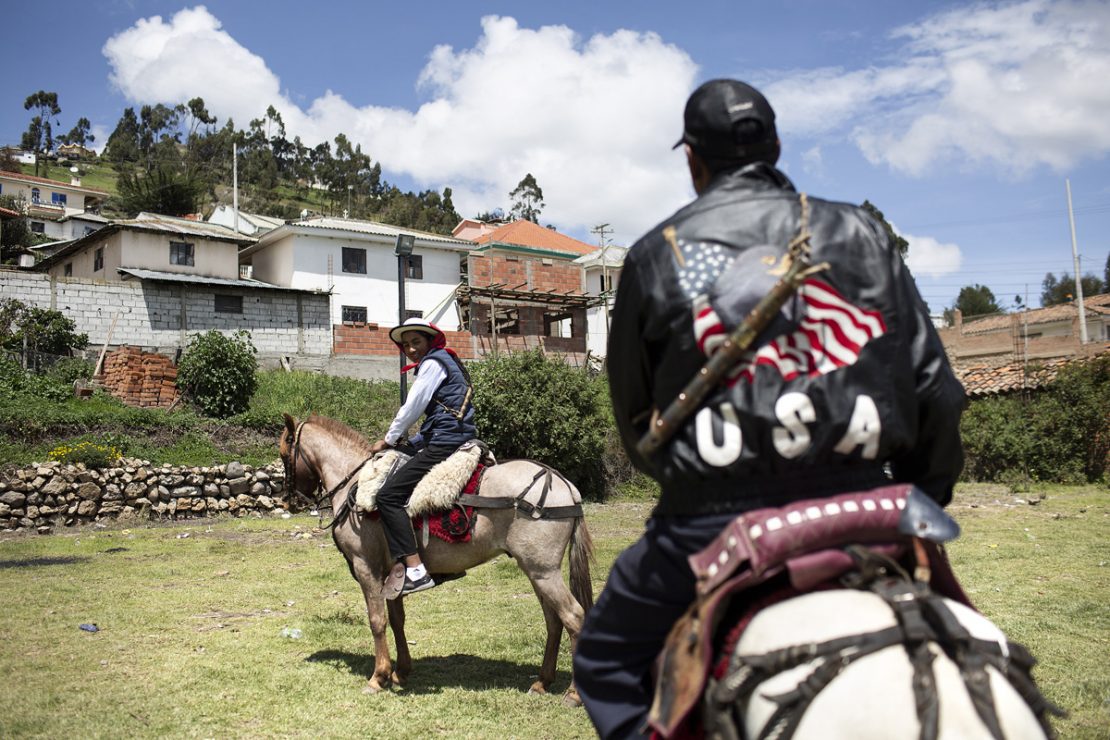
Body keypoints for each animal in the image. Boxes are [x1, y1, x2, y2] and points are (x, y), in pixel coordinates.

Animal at [276, 414, 594, 705]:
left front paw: (378, 677)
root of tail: (565, 486)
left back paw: (574, 693)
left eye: (283, 453)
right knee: (553, 621)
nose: (287, 501)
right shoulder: (393, 575)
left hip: (543, 571)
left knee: (574, 617)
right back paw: (541, 682)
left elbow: (377, 620)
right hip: (536, 571)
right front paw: (400, 672)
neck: (356, 484)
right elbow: (397, 620)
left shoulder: (367, 569)